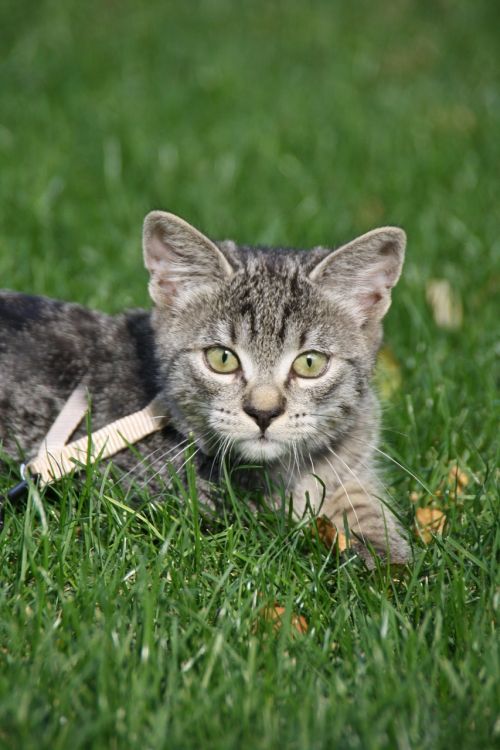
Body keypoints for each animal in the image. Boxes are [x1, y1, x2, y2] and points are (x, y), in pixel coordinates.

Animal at [0, 212, 410, 564]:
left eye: (310, 363)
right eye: (222, 359)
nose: (263, 412)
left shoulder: (353, 467)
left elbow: (365, 507)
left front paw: (387, 557)